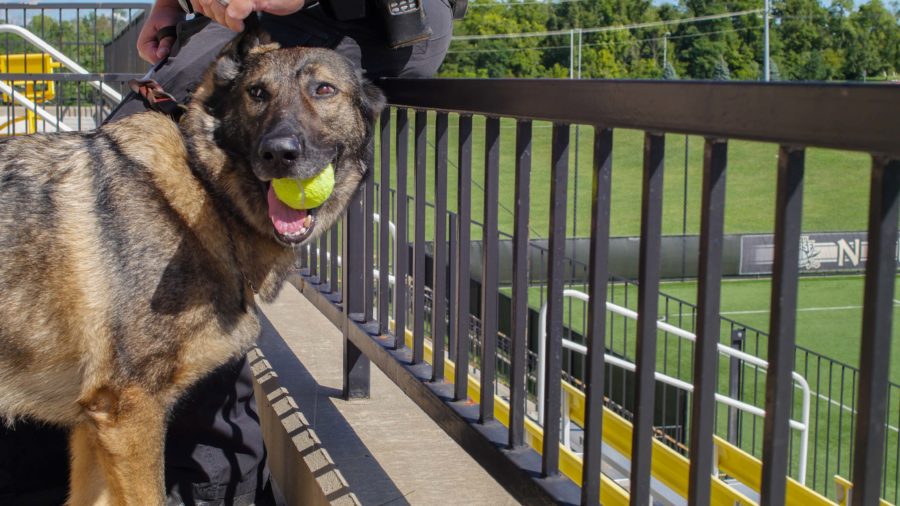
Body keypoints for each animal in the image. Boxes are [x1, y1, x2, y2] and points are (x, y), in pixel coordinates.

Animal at [0, 22, 384, 502]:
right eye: (257, 92)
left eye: (324, 89)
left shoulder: (94, 424)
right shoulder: (127, 412)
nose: (279, 153)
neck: (203, 187)